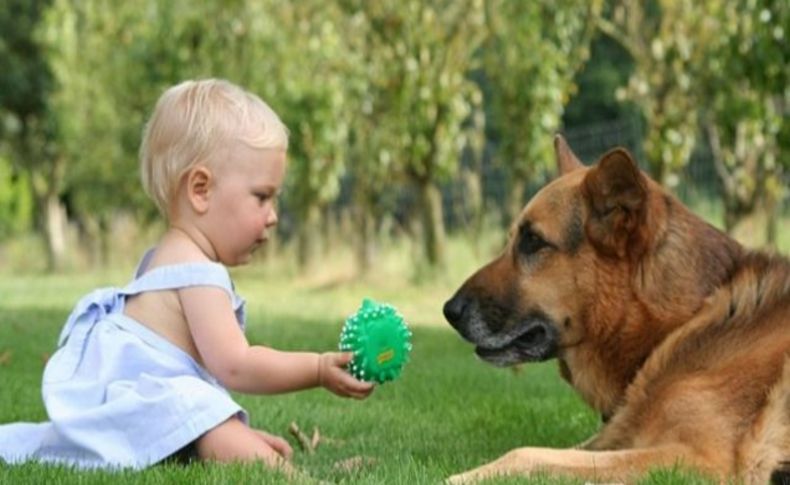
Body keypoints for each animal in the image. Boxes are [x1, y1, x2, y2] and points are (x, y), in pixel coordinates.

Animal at [446, 135, 790, 480]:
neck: (681, 323)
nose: (449, 312)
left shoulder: (698, 461)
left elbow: (525, 453)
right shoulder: (614, 437)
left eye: (533, 241)